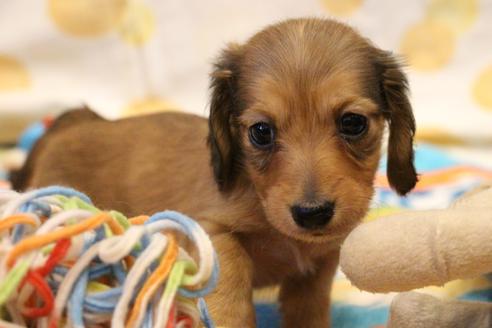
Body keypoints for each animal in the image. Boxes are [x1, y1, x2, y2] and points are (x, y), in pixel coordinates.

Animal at [12, 18, 416, 328]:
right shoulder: (214, 234)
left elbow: (310, 310)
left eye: (353, 123)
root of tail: (68, 125)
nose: (312, 213)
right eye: (261, 131)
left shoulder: (318, 266)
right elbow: (231, 294)